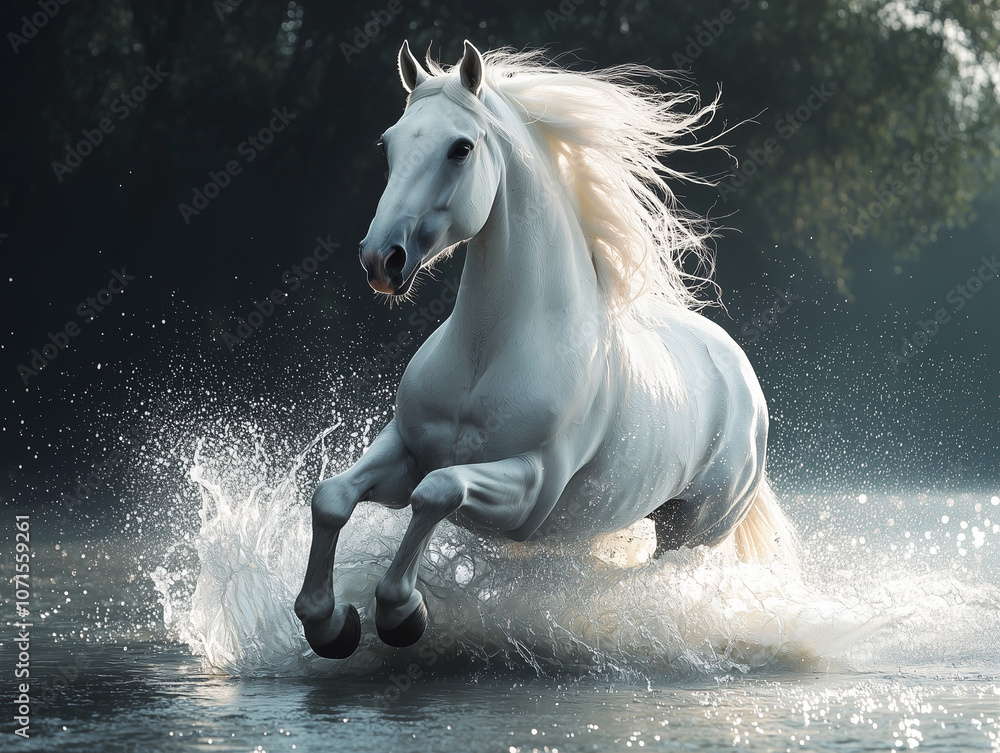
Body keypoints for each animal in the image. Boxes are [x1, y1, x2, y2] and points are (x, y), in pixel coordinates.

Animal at [294, 40, 796, 659]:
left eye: (461, 148)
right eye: (389, 143)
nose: (381, 260)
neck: (488, 355)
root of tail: (740, 372)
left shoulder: (529, 490)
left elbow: (437, 494)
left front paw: (401, 614)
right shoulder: (406, 449)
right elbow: (332, 497)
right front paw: (329, 623)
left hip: (690, 534)